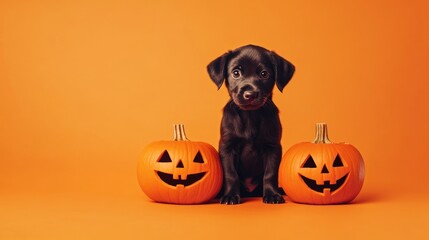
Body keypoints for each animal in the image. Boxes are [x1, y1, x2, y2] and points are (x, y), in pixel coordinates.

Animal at [205, 44, 292, 204]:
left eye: (264, 74)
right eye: (236, 73)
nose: (250, 95)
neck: (250, 116)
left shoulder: (273, 147)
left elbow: (270, 174)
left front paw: (272, 194)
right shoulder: (227, 147)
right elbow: (230, 174)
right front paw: (230, 196)